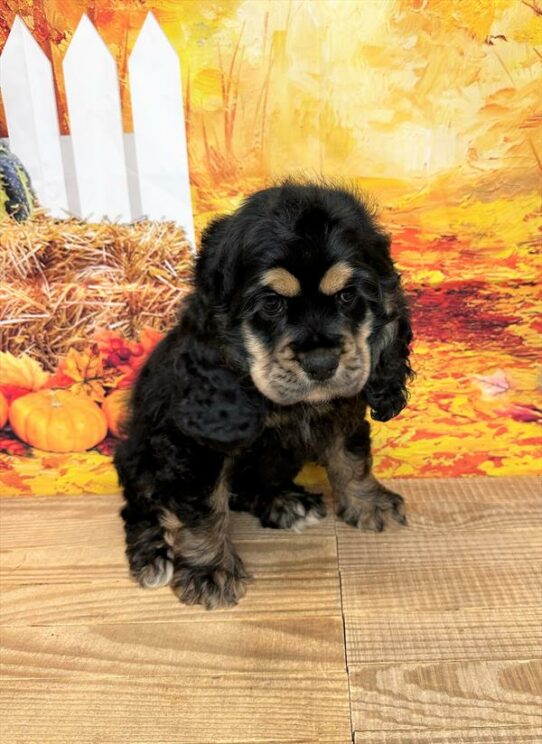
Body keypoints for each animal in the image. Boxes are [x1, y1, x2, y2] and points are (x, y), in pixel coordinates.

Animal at [113, 182, 412, 612]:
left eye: (347, 297)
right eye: (271, 304)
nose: (321, 363)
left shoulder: (345, 410)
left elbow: (352, 458)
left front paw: (368, 502)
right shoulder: (193, 447)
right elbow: (202, 508)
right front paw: (209, 570)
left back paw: (284, 502)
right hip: (139, 455)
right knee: (140, 508)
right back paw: (152, 553)